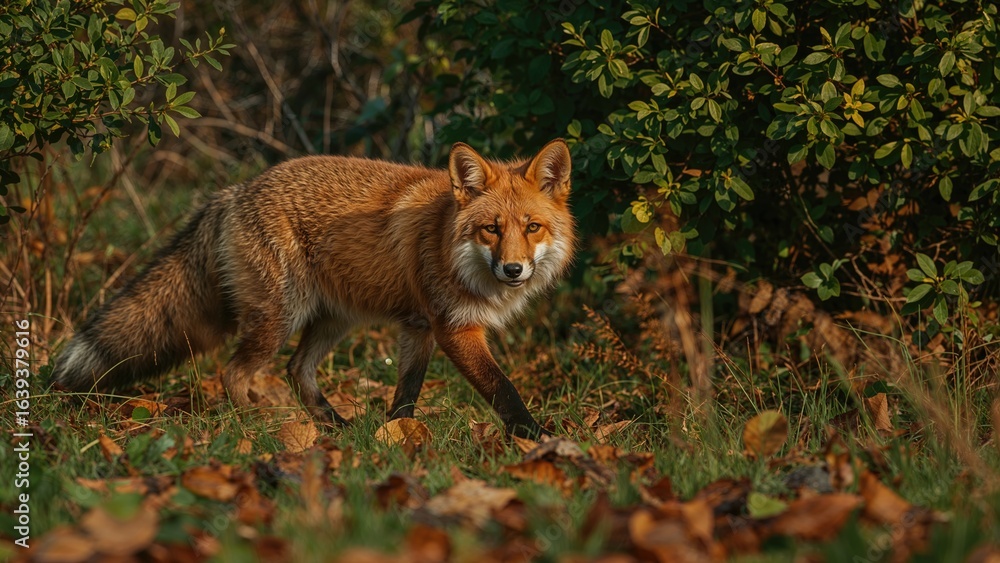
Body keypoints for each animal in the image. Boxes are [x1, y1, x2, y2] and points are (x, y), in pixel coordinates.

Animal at [52, 139, 575, 438]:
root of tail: (233, 192)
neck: (447, 241)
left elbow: (406, 392)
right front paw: (536, 437)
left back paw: (335, 428)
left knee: (297, 370)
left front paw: (395, 439)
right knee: (234, 372)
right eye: (491, 229)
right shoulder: (454, 329)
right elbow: (504, 389)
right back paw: (253, 426)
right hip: (281, 317)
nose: (513, 270)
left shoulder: (420, 327)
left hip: (332, 319)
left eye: (532, 227)